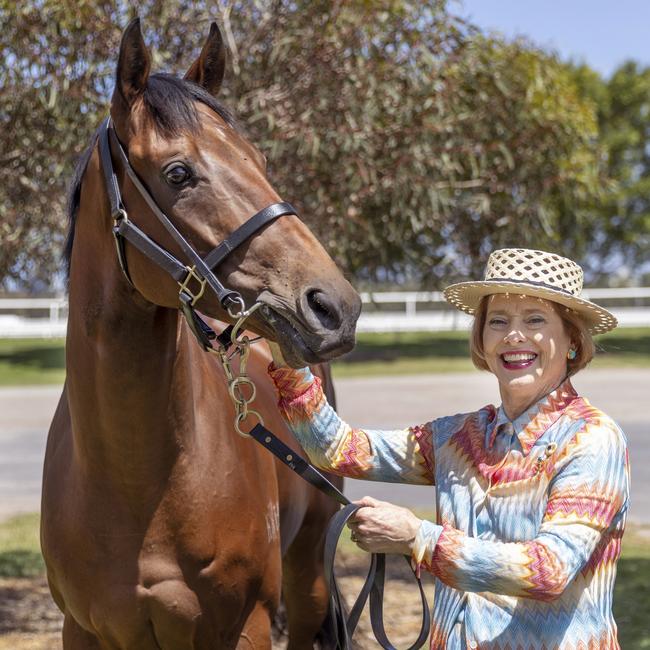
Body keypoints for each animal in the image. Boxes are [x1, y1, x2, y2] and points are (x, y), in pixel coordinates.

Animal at [41, 17, 360, 644]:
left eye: (258, 158)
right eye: (178, 173)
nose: (335, 307)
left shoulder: (245, 626)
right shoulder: (81, 630)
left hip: (308, 579)